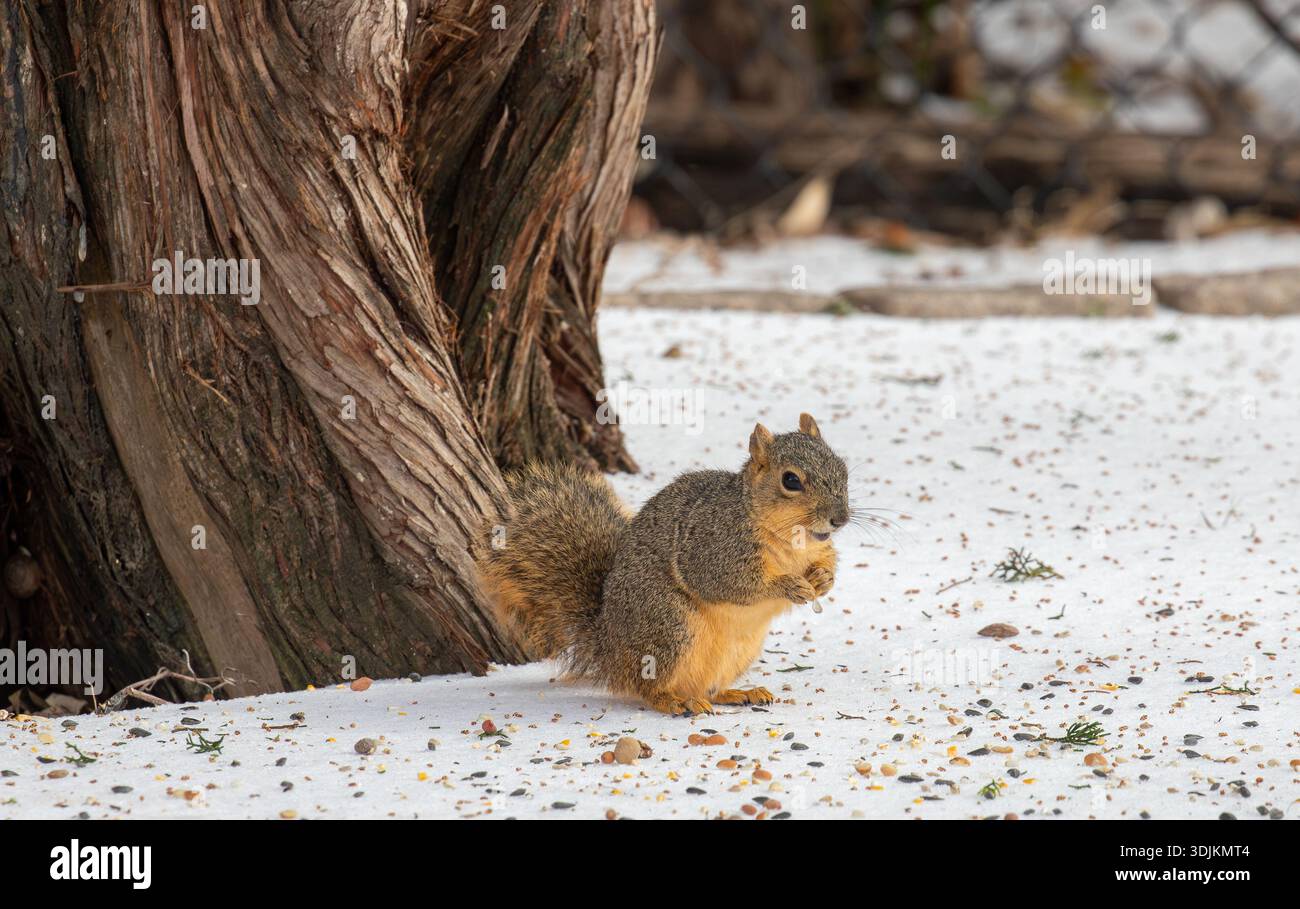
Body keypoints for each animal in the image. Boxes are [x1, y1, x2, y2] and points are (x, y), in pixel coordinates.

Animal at [479, 413, 850, 715]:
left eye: (842, 468)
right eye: (791, 480)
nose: (840, 519)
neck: (792, 540)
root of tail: (608, 648)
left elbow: (827, 563)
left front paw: (823, 580)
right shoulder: (713, 550)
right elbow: (733, 584)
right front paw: (789, 585)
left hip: (738, 649)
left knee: (707, 689)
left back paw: (735, 693)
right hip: (669, 625)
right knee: (646, 687)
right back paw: (674, 701)